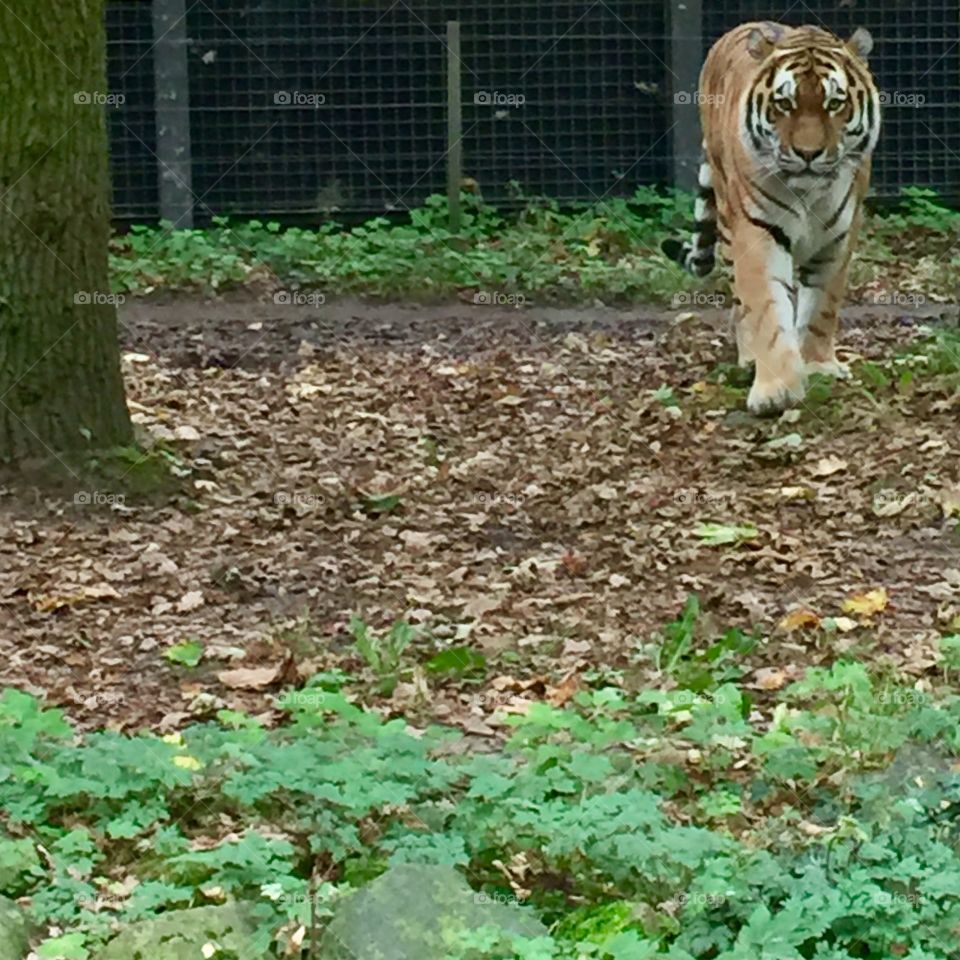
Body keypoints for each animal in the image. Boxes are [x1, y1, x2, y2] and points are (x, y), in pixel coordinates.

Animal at [661, 22, 881, 415]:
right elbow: (765, 307)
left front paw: (818, 365)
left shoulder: (839, 237)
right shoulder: (756, 232)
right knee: (739, 303)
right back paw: (749, 356)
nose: (808, 153)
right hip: (727, 223)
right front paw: (776, 390)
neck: (809, 194)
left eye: (834, 103)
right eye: (784, 103)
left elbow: (822, 308)